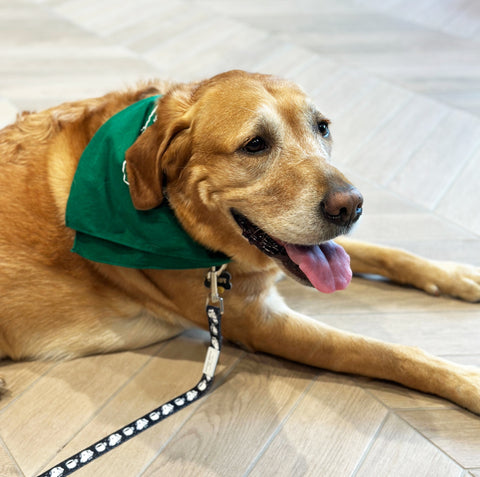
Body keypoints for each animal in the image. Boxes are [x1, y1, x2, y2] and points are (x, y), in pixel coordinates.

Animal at [0, 69, 478, 414]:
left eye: (323, 128)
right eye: (255, 144)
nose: (351, 206)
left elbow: (385, 252)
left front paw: (456, 275)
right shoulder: (259, 322)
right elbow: (382, 352)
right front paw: (468, 382)